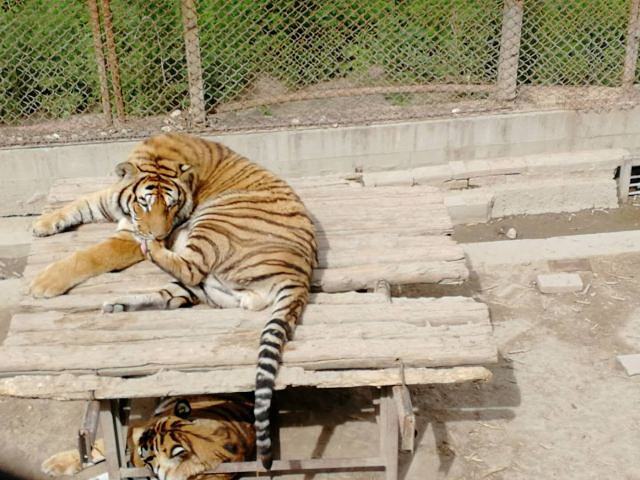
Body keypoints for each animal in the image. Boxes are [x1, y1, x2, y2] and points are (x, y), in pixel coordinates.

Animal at [31, 132, 316, 468]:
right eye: (144, 202)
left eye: (172, 204)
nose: (159, 234)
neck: (158, 157)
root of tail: (300, 275)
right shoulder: (112, 198)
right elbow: (82, 202)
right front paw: (42, 223)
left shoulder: (129, 235)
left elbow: (92, 255)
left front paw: (43, 283)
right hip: (208, 285)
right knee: (175, 294)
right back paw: (118, 304)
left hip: (215, 223)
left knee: (190, 267)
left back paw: (152, 253)